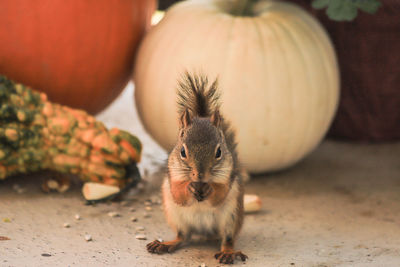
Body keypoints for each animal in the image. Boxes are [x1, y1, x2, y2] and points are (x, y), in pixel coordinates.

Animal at [147, 73, 247, 266]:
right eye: (182, 152)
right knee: (182, 237)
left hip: (231, 216)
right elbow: (178, 193)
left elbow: (219, 194)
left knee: (227, 239)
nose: (200, 175)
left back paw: (228, 253)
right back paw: (165, 244)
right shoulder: (172, 177)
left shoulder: (227, 178)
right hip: (176, 216)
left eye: (219, 152)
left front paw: (208, 189)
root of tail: (206, 233)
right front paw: (189, 187)